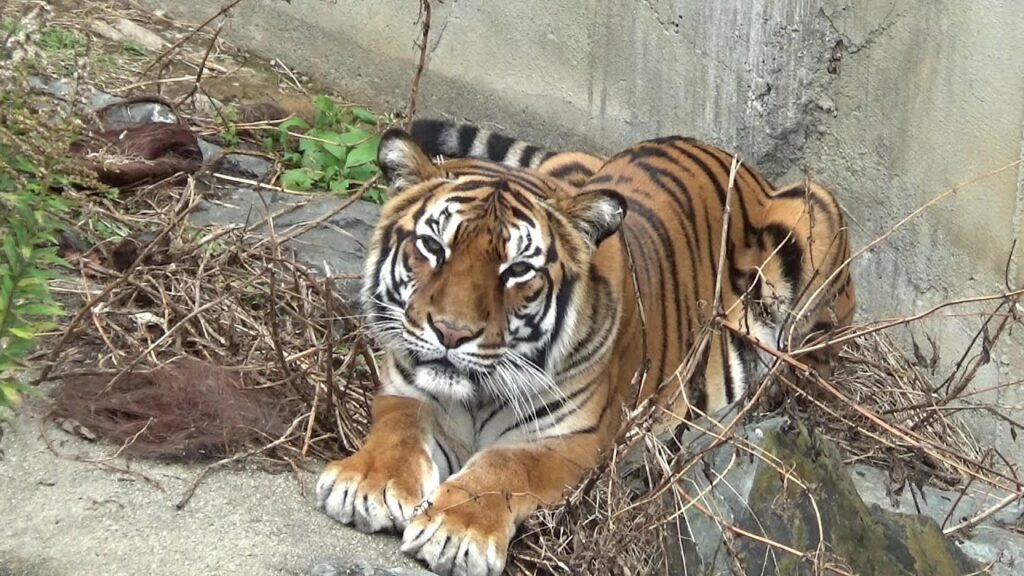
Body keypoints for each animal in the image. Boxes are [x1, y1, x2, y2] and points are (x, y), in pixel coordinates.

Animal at [315, 118, 856, 576]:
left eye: (517, 270)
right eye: (433, 247)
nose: (450, 332)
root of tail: (733, 157)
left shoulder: (573, 441)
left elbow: (502, 466)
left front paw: (456, 532)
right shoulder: (406, 391)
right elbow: (397, 431)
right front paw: (366, 485)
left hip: (814, 217)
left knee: (813, 357)